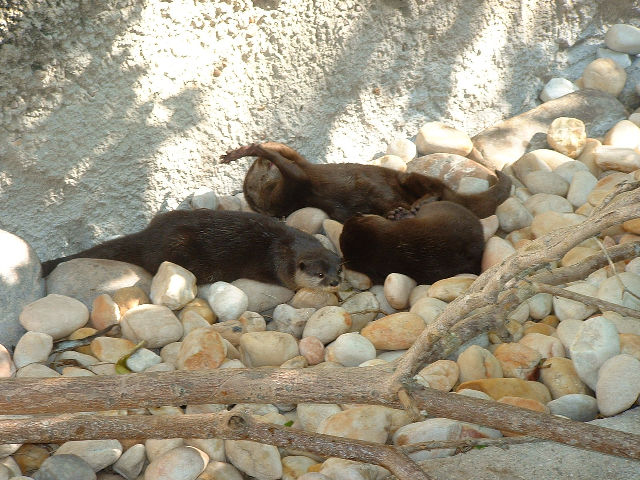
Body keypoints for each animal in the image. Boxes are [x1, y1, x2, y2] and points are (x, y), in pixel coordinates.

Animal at [41, 209, 343, 291]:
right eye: (319, 274)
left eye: (338, 270)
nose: (335, 282)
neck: (284, 245)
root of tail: (148, 236)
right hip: (176, 247)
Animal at [220, 142, 511, 222]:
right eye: (258, 171)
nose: (261, 163)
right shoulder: (293, 187)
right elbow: (289, 166)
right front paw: (256, 150)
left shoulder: (301, 171)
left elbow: (287, 153)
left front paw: (245, 150)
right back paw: (403, 211)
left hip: (407, 177)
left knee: (429, 188)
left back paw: (414, 204)